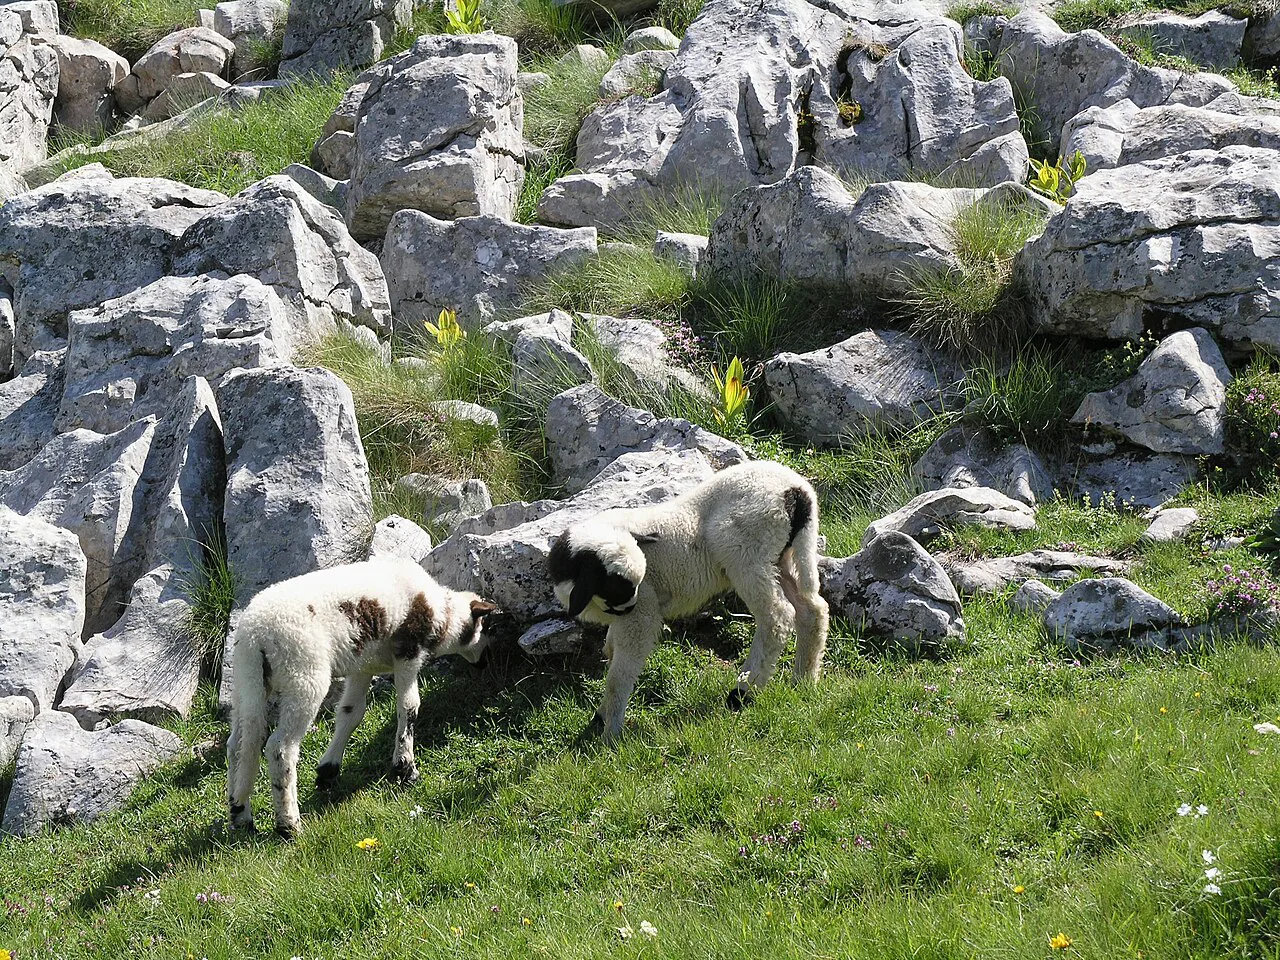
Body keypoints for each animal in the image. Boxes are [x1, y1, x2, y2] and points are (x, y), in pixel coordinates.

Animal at [226, 558, 499, 837]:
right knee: (280, 748)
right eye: (488, 627)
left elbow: (350, 712)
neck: (443, 615)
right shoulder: (408, 651)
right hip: (303, 676)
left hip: (248, 681)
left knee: (240, 744)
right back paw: (289, 825)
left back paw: (240, 813)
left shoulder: (363, 666)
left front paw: (328, 770)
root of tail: (256, 634)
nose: (487, 661)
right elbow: (409, 707)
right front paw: (405, 768)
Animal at [547, 460, 829, 740]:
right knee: (812, 610)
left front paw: (610, 733)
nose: (629, 606)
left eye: (623, 586)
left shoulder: (641, 612)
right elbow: (610, 649)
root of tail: (796, 490)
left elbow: (620, 672)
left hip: (746, 551)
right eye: (615, 586)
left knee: (777, 617)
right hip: (782, 555)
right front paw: (601, 717)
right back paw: (804, 681)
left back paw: (742, 692)